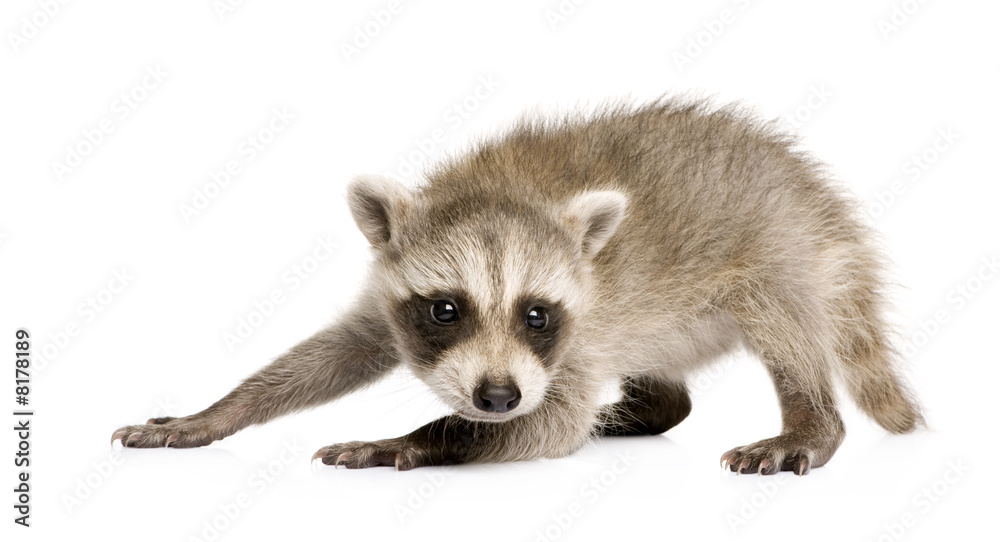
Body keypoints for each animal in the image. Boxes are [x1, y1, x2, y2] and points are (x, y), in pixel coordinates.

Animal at [112, 98, 923, 475]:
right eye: (445, 309)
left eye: (537, 314)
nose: (496, 398)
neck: (501, 189)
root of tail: (812, 196)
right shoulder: (392, 296)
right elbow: (331, 354)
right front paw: (214, 413)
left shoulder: (586, 323)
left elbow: (551, 421)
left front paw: (419, 439)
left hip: (779, 258)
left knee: (784, 328)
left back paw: (810, 424)